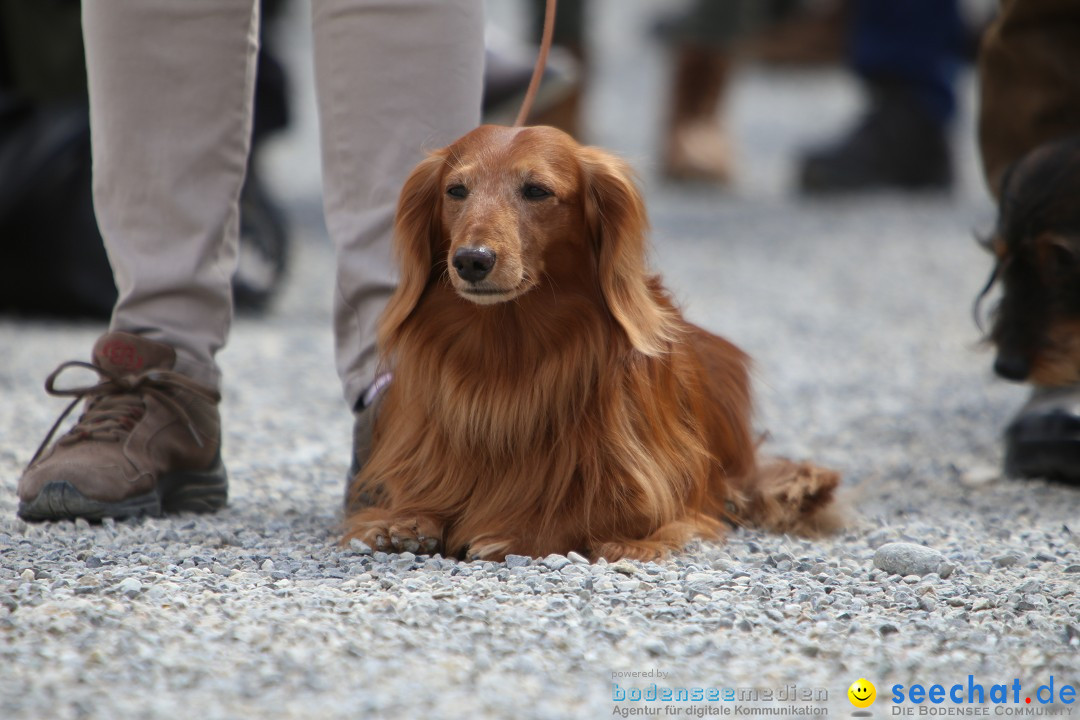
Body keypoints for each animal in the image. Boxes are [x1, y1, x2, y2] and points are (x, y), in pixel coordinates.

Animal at [347, 125, 842, 561]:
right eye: (456, 190)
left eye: (536, 191)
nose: (471, 260)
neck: (507, 351)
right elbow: (422, 498)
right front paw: (406, 521)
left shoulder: (659, 494)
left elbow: (594, 516)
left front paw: (518, 532)